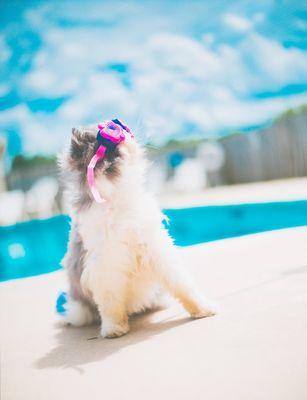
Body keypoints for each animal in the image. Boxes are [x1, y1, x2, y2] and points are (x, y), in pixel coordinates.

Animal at [60, 122, 218, 338]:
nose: (126, 134)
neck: (117, 197)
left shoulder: (159, 252)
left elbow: (184, 287)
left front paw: (203, 309)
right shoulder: (106, 266)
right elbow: (110, 305)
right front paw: (114, 329)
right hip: (80, 308)